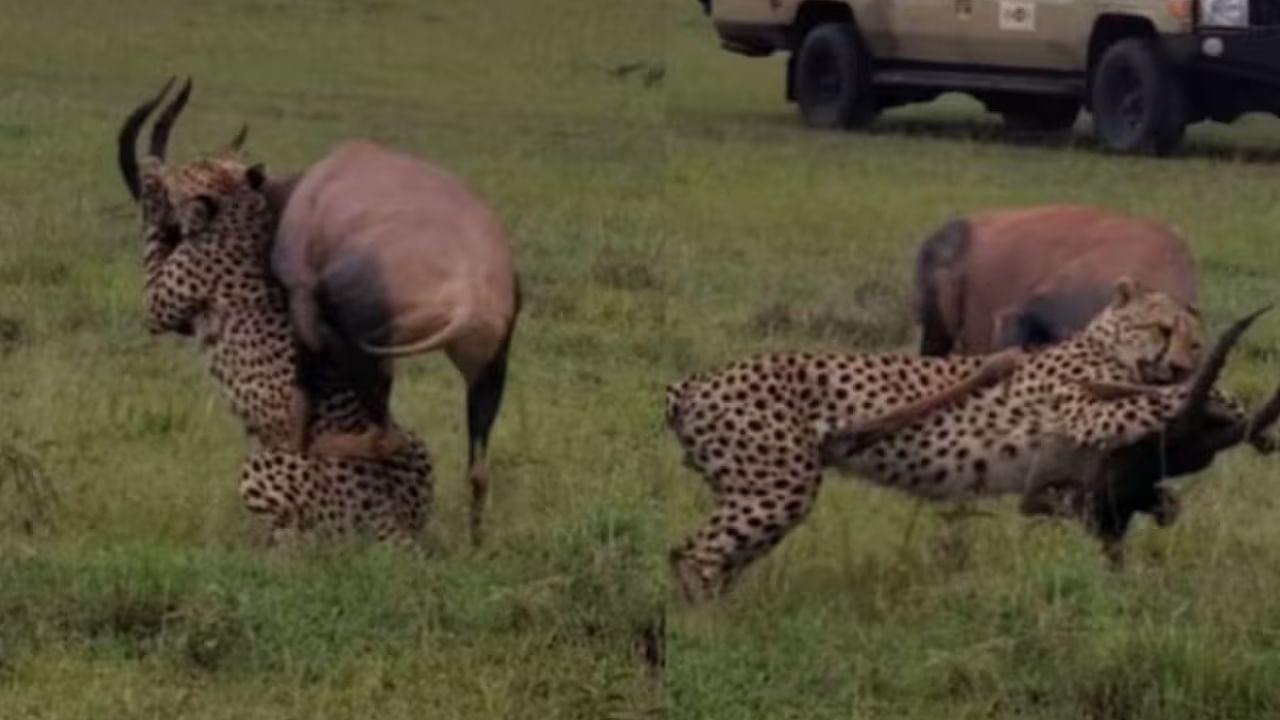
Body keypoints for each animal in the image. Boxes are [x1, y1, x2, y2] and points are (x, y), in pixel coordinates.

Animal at [665, 280, 1264, 599]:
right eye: (1162, 330)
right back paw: (711, 635)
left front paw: (1169, 500)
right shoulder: (1082, 409)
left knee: (713, 557)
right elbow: (1155, 400)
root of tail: (692, 380)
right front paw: (1232, 404)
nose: (1184, 363)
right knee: (692, 554)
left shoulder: (1067, 480)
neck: (1107, 344)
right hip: (778, 486)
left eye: (1195, 340)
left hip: (761, 488)